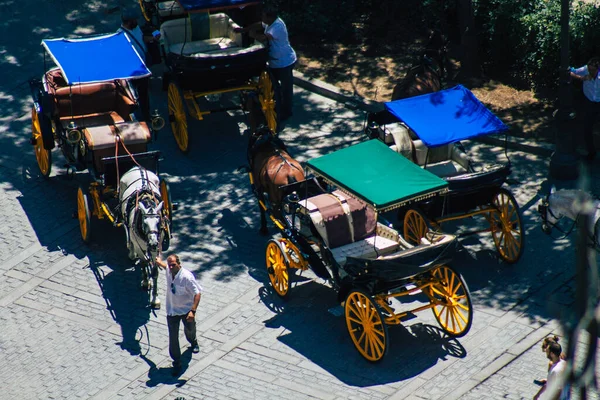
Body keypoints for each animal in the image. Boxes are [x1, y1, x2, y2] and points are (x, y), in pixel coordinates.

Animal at [119, 166, 168, 310]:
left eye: (159, 222)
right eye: (144, 223)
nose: (152, 243)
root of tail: (137, 168)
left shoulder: (157, 249)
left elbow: (155, 271)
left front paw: (155, 298)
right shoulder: (140, 247)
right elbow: (143, 262)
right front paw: (146, 282)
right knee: (128, 235)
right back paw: (131, 252)